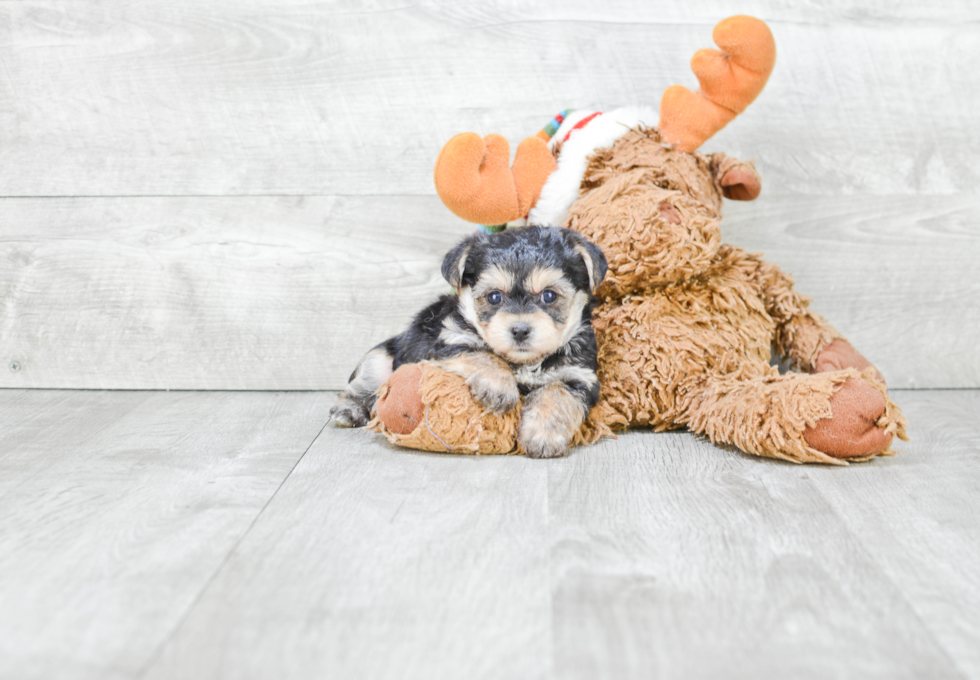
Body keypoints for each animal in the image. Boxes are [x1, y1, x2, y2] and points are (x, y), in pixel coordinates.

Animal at [330, 226, 604, 460]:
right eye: (494, 297)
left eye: (549, 295)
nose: (520, 330)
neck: (523, 362)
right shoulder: (449, 341)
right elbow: (482, 353)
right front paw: (499, 386)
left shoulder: (578, 375)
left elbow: (557, 396)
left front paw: (543, 435)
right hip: (379, 361)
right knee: (359, 387)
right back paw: (348, 411)